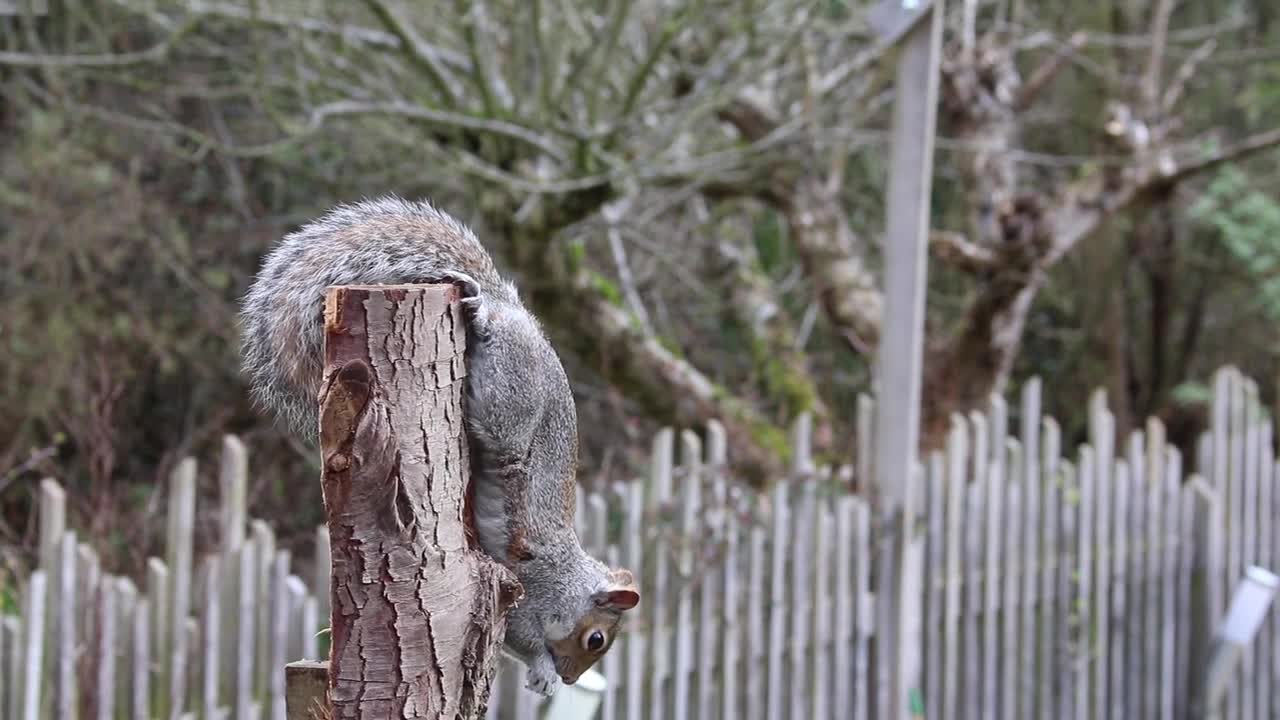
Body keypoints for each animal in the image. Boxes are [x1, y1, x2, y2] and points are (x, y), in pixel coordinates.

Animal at [239, 193, 640, 691]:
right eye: (596, 640)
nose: (569, 679)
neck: (569, 578)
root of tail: (518, 312)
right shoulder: (533, 588)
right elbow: (525, 637)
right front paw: (543, 670)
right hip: (512, 396)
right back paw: (480, 311)